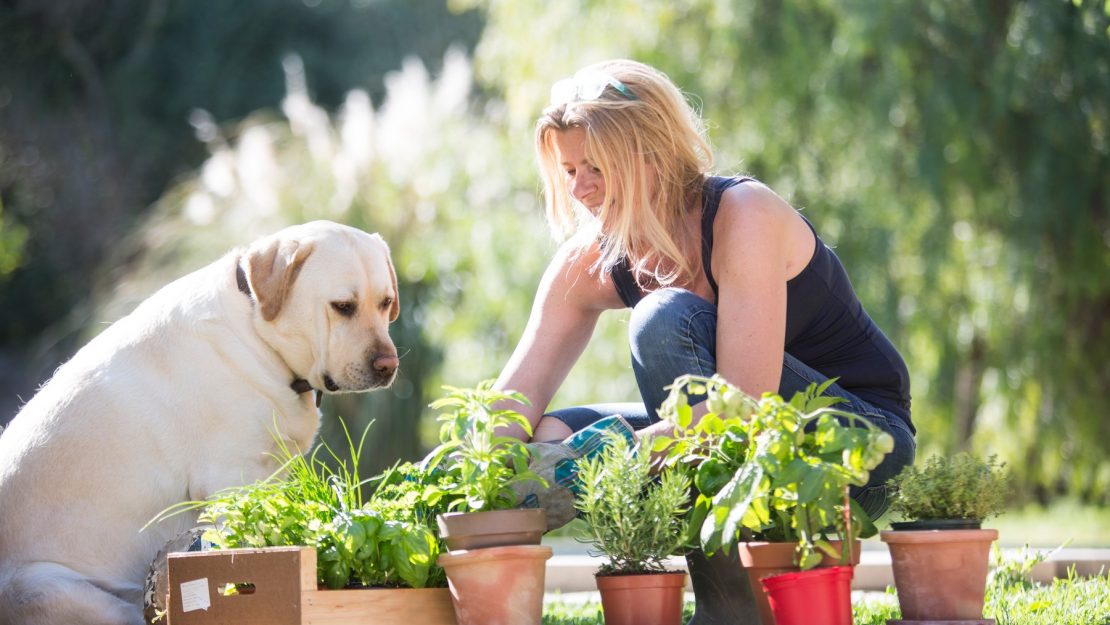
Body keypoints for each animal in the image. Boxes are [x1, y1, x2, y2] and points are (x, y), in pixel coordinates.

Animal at [0, 218, 399, 621]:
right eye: (343, 307)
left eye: (385, 303)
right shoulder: (231, 483)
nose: (389, 366)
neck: (256, 330)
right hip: (57, 590)